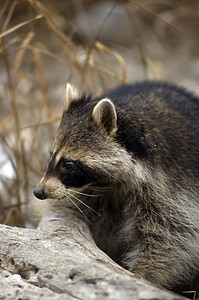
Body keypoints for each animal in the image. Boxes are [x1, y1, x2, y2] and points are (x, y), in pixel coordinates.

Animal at [33, 81, 198, 296]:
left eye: (68, 164)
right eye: (51, 155)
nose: (39, 192)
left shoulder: (171, 190)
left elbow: (172, 238)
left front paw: (143, 272)